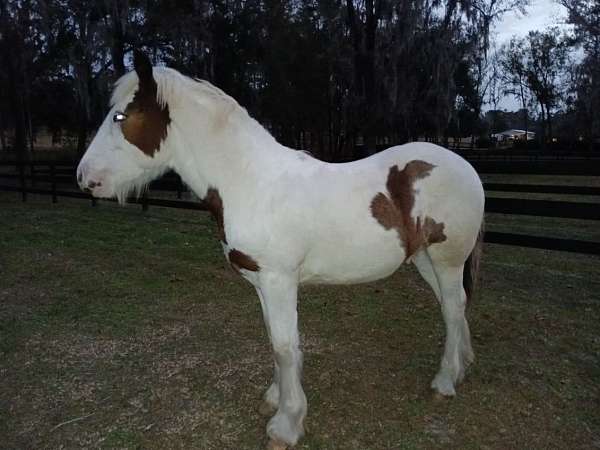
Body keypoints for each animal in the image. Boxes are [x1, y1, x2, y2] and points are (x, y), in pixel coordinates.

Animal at [77, 50, 486, 450]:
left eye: (119, 116)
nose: (84, 177)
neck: (250, 180)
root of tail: (466, 166)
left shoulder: (279, 281)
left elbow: (285, 347)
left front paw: (286, 425)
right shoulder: (262, 283)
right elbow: (274, 341)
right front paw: (274, 399)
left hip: (447, 260)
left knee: (453, 308)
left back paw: (445, 382)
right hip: (425, 259)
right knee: (454, 306)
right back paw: (463, 365)